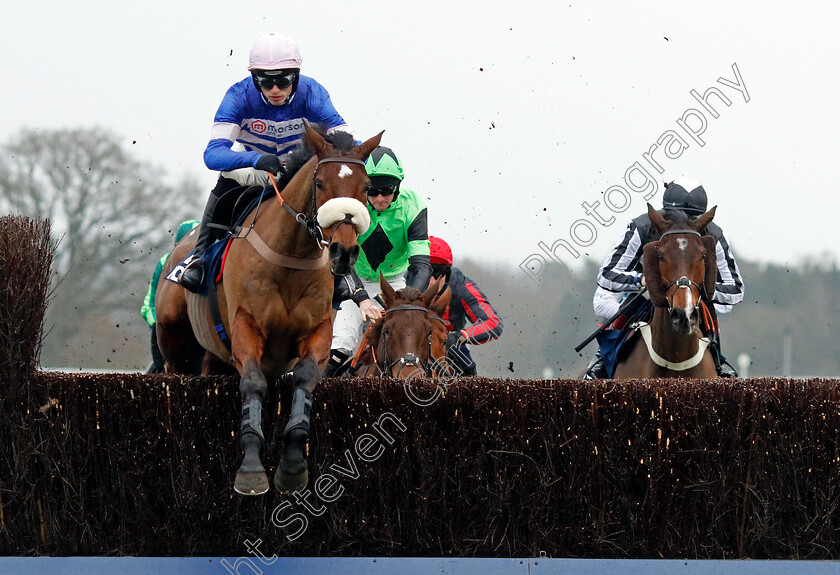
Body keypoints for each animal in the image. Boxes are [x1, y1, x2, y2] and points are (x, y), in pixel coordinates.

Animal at [155, 126, 384, 496]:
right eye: (320, 183)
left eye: (365, 186)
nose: (344, 252)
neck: (290, 257)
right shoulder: (246, 327)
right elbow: (253, 384)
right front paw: (251, 469)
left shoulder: (318, 330)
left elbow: (305, 379)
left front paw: (292, 466)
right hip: (172, 336)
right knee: (175, 380)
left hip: (214, 356)